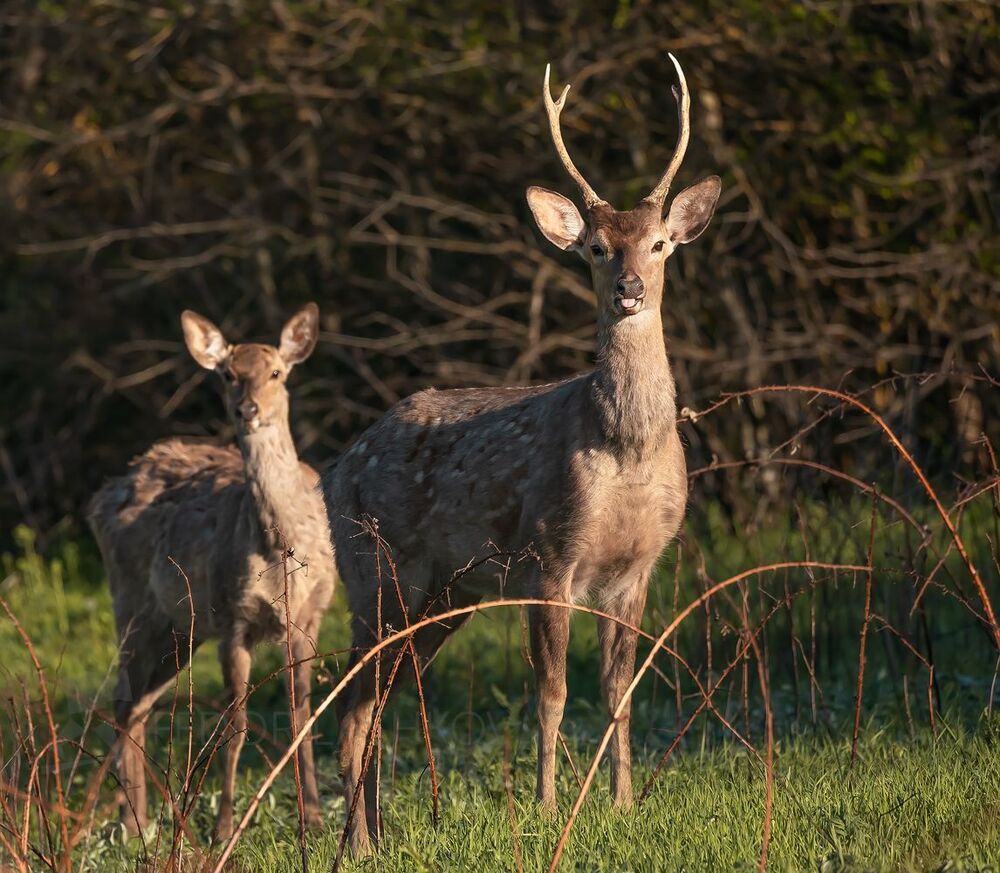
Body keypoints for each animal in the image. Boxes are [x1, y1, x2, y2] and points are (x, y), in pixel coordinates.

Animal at [88, 303, 335, 841]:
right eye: (228, 374)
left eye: (276, 372)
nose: (248, 409)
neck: (280, 551)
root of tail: (102, 494)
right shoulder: (233, 618)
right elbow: (235, 724)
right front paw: (224, 827)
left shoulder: (310, 617)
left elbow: (302, 716)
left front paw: (314, 817)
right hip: (131, 602)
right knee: (123, 697)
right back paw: (133, 822)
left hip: (180, 629)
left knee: (138, 703)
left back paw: (134, 818)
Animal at [323, 54, 720, 855]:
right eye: (597, 248)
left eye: (659, 243)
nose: (630, 288)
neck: (626, 451)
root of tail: (336, 469)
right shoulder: (550, 555)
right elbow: (552, 691)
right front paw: (545, 808)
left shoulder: (636, 568)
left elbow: (618, 690)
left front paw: (622, 805)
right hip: (375, 569)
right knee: (352, 702)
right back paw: (357, 843)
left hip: (446, 593)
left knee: (378, 699)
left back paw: (371, 836)